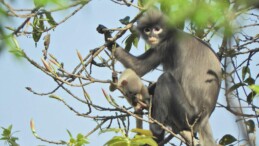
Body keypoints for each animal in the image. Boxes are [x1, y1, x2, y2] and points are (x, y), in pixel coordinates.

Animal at [97, 8, 221, 146]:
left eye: (157, 29)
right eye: (147, 29)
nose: (152, 36)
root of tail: (205, 117)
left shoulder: (171, 45)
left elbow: (171, 73)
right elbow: (138, 67)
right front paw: (107, 35)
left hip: (189, 115)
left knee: (165, 78)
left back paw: (156, 129)